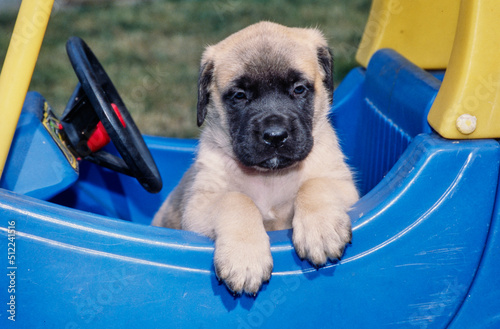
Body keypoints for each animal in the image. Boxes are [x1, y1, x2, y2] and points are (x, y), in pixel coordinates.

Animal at [153, 21, 360, 296]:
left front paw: (322, 229)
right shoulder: (198, 209)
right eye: (239, 95)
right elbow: (236, 200)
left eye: (299, 89)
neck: (270, 178)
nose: (275, 136)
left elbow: (315, 184)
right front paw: (244, 258)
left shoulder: (345, 188)